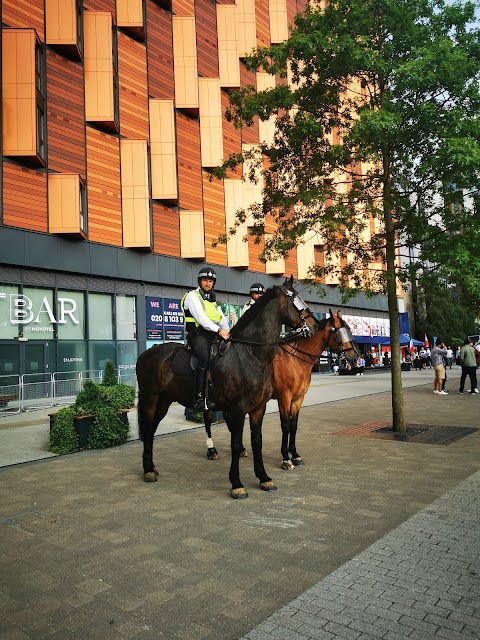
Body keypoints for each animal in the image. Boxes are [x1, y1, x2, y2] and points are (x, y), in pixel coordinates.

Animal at [135, 278, 316, 498]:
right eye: (295, 299)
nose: (314, 326)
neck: (249, 354)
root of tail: (147, 353)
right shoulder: (238, 409)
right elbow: (236, 444)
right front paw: (237, 483)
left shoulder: (258, 408)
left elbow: (257, 442)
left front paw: (264, 478)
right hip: (150, 397)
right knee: (148, 429)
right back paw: (148, 470)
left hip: (164, 400)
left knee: (152, 429)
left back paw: (151, 467)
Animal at [202, 312, 360, 470]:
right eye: (339, 332)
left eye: (349, 330)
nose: (354, 358)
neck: (294, 360)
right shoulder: (284, 397)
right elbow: (285, 426)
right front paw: (285, 458)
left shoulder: (298, 399)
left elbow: (294, 425)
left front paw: (295, 455)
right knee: (208, 418)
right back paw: (211, 450)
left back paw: (240, 449)